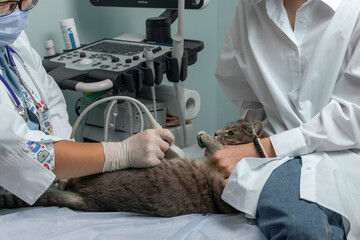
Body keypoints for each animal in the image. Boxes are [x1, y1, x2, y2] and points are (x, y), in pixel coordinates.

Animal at [0, 110, 268, 218]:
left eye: (231, 132)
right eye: (225, 126)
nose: (215, 131)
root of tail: (92, 202)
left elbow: (217, 149)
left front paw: (206, 139)